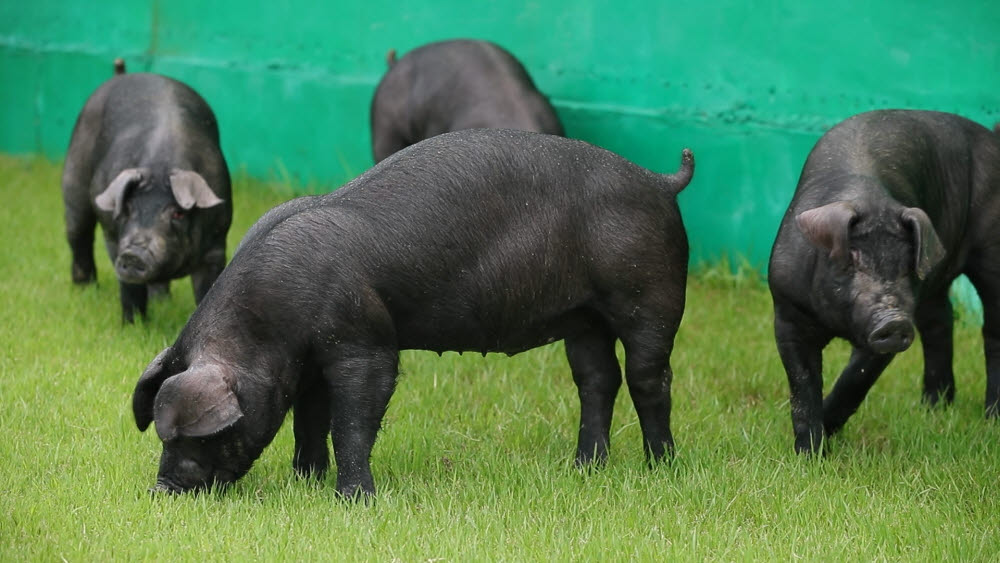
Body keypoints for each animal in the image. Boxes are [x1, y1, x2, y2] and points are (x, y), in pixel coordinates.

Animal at [62, 67, 232, 322]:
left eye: (178, 214)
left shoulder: (217, 243)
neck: (161, 165)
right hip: (74, 176)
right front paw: (133, 325)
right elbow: (129, 288)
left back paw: (162, 300)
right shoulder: (114, 240)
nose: (133, 253)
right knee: (79, 235)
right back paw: (86, 290)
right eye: (127, 209)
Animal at [131, 128, 696, 498]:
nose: (161, 489)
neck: (268, 327)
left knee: (650, 378)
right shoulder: (308, 362)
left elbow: (352, 420)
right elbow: (308, 421)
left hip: (652, 294)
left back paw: (661, 469)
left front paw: (353, 499)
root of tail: (660, 181)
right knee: (597, 378)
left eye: (198, 435)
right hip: (583, 317)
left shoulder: (364, 341)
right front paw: (305, 482)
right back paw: (585, 468)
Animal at [768, 110, 1000, 454]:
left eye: (905, 266)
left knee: (992, 332)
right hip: (933, 287)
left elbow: (855, 379)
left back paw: (990, 417)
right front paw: (809, 454)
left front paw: (828, 429)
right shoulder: (787, 313)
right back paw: (933, 407)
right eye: (852, 263)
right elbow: (802, 385)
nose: (894, 320)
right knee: (940, 322)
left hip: (991, 250)